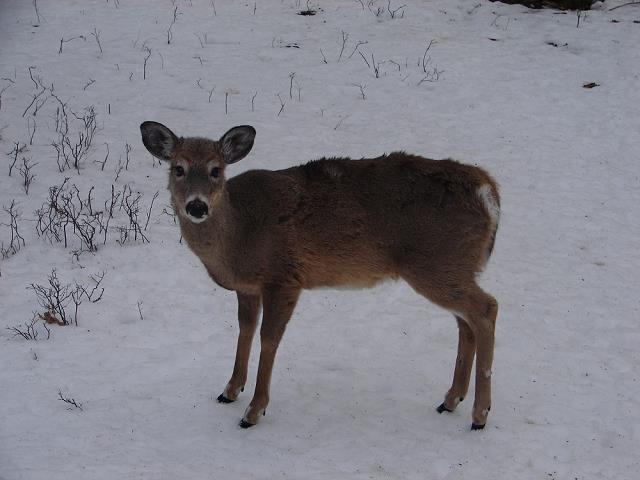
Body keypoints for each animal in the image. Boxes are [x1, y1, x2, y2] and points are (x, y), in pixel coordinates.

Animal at [140, 122, 500, 430]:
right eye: (178, 168)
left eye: (216, 170)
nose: (197, 206)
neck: (238, 235)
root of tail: (489, 192)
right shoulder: (248, 287)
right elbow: (245, 329)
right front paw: (229, 390)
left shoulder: (284, 277)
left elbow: (268, 339)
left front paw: (254, 410)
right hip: (452, 267)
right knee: (465, 322)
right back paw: (451, 399)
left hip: (438, 263)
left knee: (487, 309)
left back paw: (479, 414)